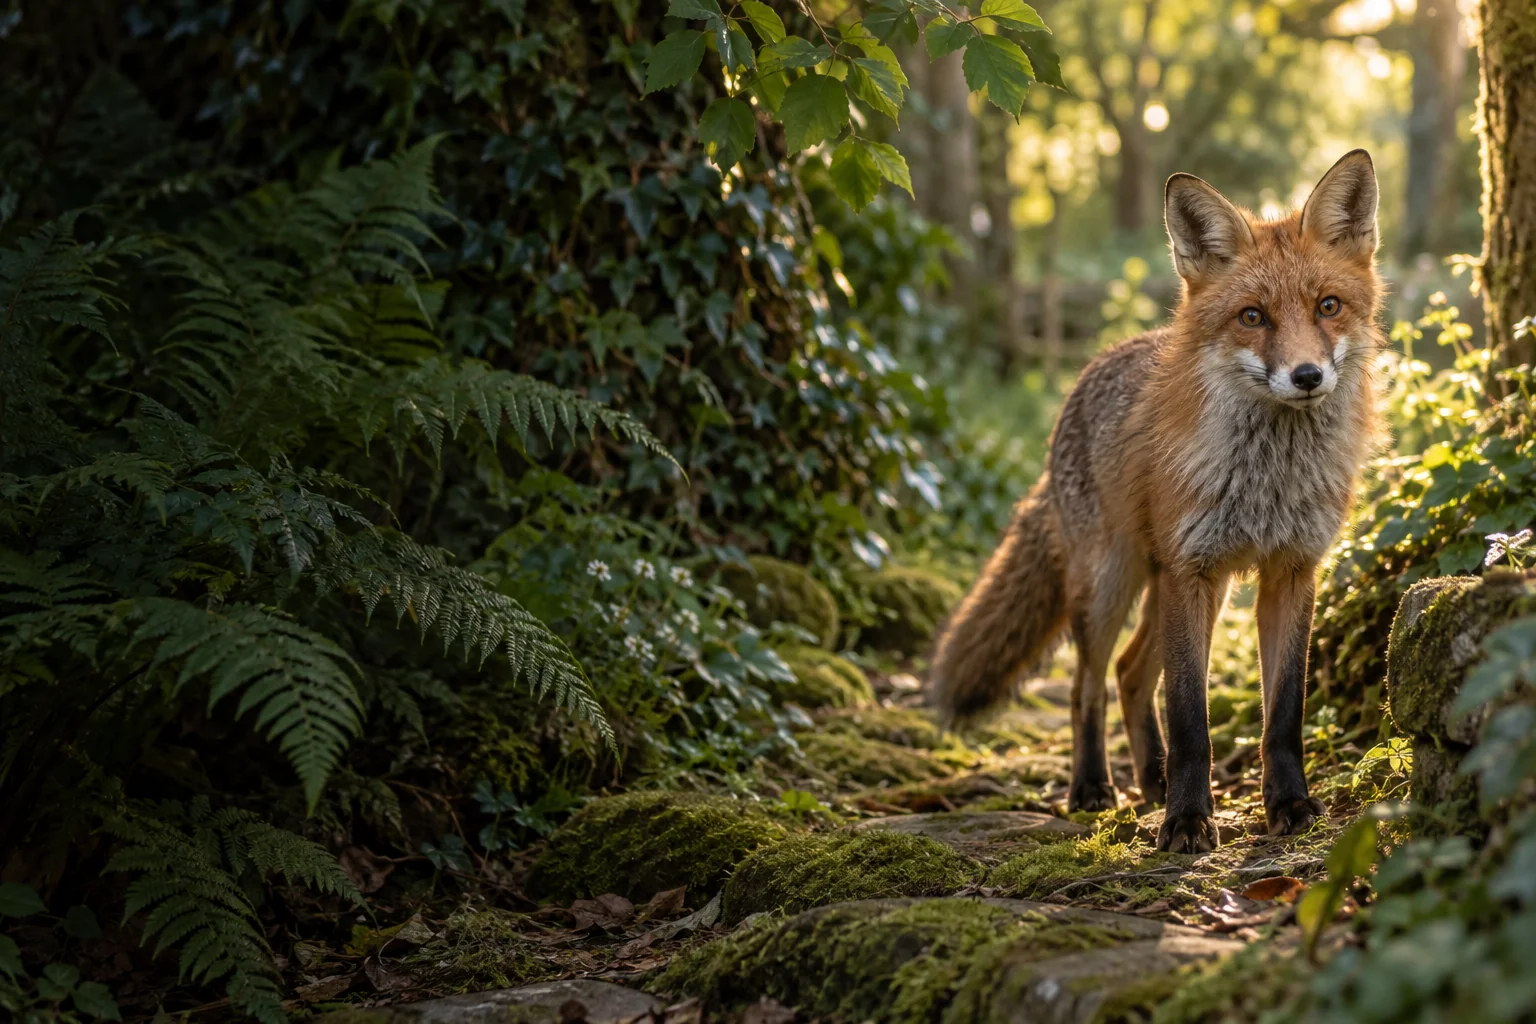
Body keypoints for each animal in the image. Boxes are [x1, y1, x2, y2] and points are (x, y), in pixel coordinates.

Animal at [929, 151, 1383, 853]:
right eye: (1253, 316)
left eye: (1328, 306)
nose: (1307, 376)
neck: (1267, 481)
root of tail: (1091, 369)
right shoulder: (1189, 571)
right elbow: (1190, 716)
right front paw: (1188, 820)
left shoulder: (1291, 571)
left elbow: (1283, 713)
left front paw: (1288, 805)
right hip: (1111, 584)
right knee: (1089, 685)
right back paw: (1094, 787)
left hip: (1184, 584)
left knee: (1130, 671)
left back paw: (1152, 779)